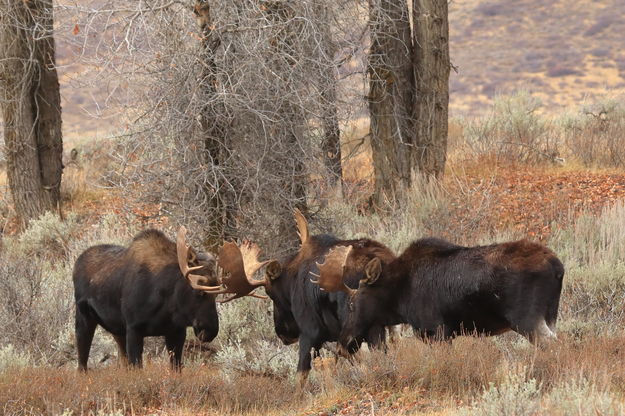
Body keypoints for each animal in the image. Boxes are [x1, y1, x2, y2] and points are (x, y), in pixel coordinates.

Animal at [314, 237, 564, 354]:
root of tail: (558, 267)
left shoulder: (437, 331)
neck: (400, 301)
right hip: (550, 316)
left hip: (527, 320)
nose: (343, 344)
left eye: (352, 305)